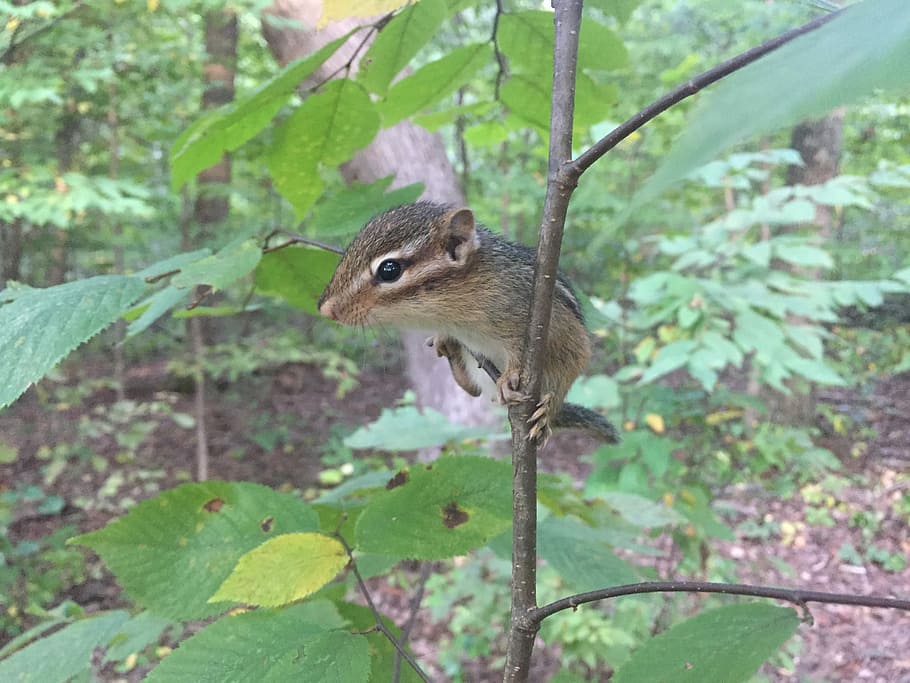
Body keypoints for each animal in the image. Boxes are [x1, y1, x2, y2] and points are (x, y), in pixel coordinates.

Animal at [317, 201, 620, 446]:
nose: (325, 309)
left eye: (389, 270)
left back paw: (544, 410)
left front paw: (514, 378)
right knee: (470, 388)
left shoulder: (540, 320)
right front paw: (444, 337)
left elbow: (540, 356)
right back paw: (450, 349)